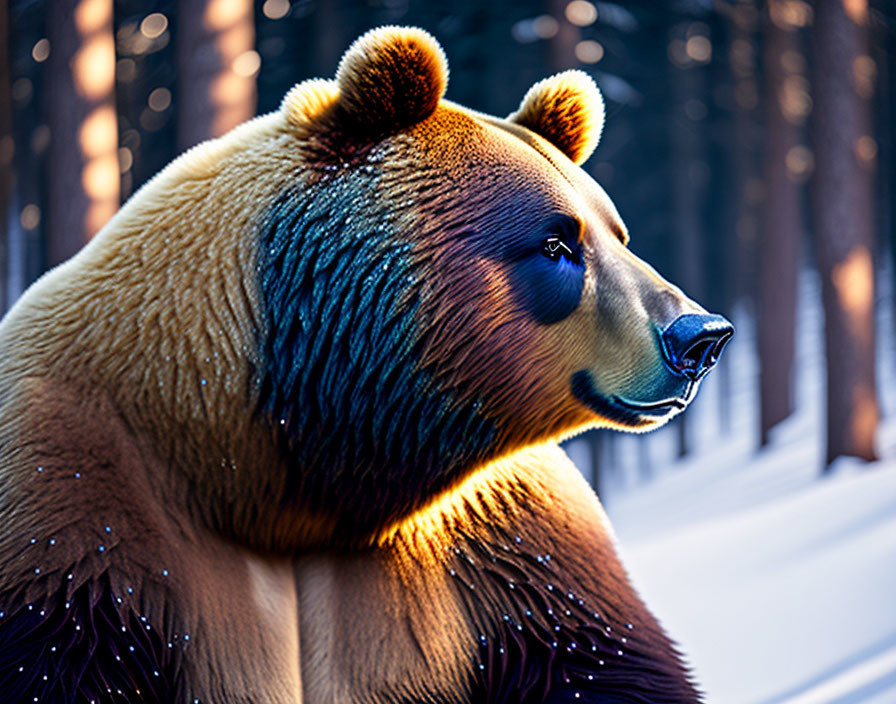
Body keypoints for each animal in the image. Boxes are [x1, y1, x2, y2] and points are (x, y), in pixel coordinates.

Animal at [0, 24, 732, 700]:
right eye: (555, 243)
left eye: (617, 234)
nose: (701, 335)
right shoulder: (75, 505)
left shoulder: (505, 537)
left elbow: (600, 656)